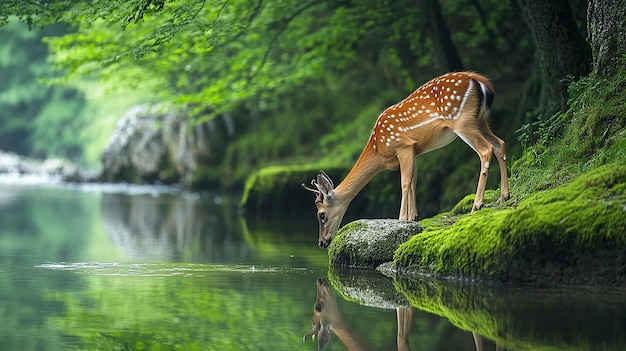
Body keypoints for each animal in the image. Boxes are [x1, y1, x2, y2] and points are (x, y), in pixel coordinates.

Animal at [300, 71, 510, 248]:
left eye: (321, 215)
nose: (321, 243)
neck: (379, 149)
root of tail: (482, 82)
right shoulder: (414, 150)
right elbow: (414, 181)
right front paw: (413, 217)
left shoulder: (403, 146)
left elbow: (404, 182)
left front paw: (401, 219)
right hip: (481, 120)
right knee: (500, 143)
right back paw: (504, 196)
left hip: (462, 120)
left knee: (486, 150)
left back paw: (477, 204)